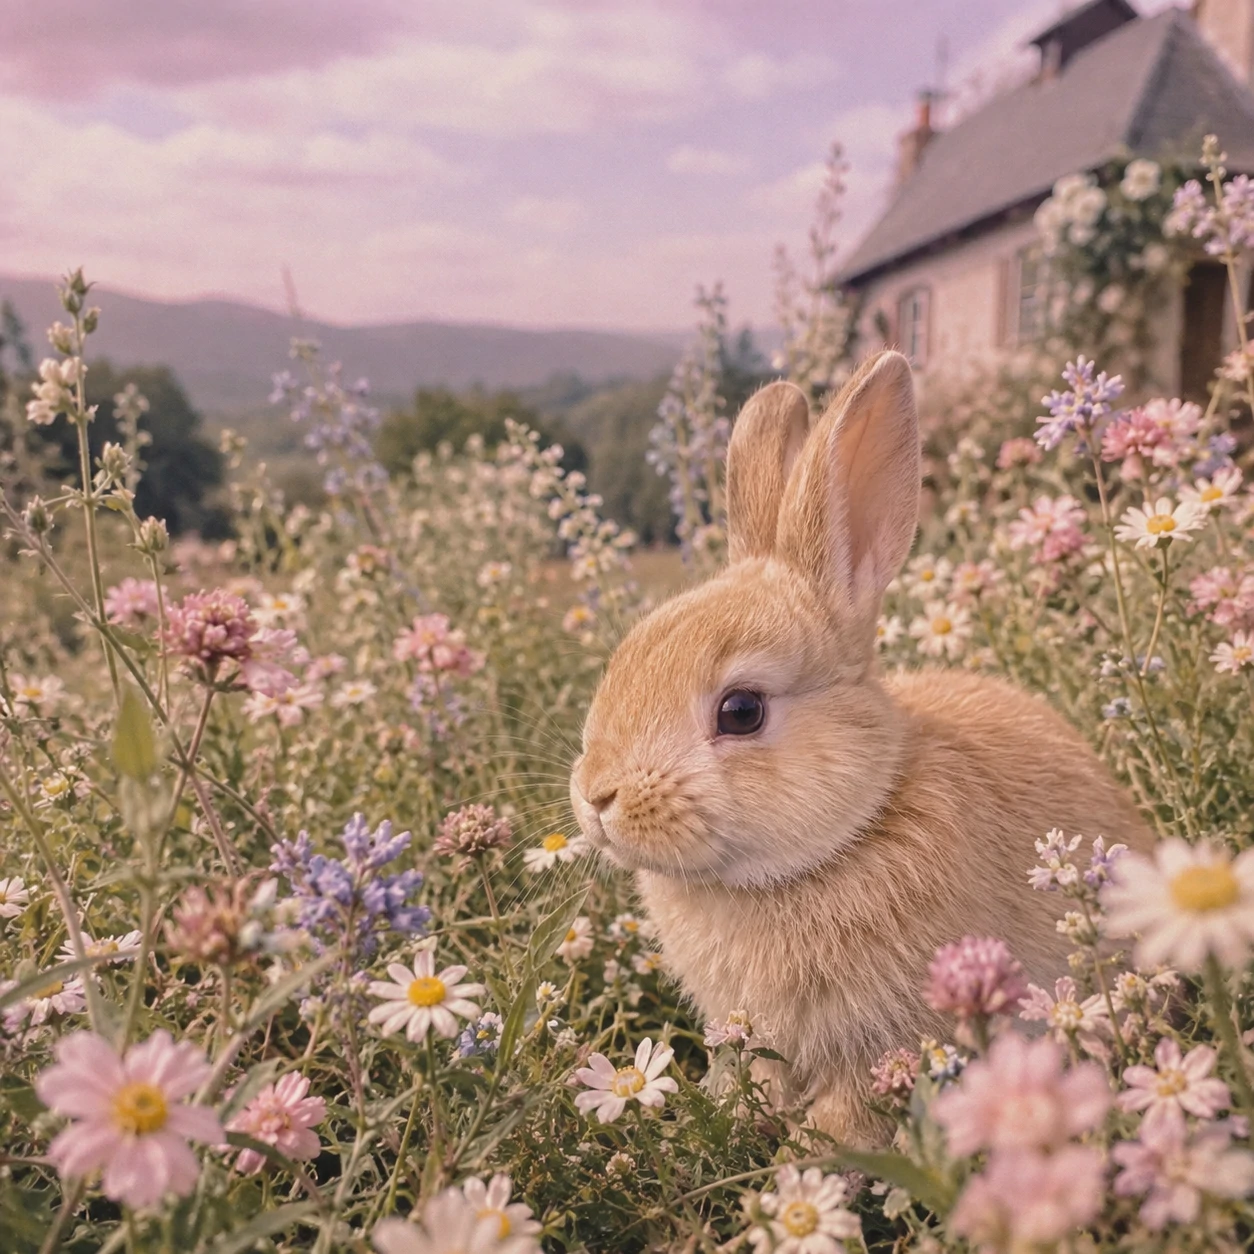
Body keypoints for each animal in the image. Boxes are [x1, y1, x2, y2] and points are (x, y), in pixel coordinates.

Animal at [568, 349, 1156, 1145]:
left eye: (741, 711)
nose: (597, 795)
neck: (843, 839)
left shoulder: (886, 1039)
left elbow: (849, 1112)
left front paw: (807, 1155)